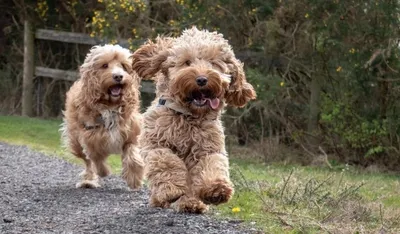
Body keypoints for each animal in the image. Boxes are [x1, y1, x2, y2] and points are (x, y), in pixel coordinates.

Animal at [61, 44, 144, 189]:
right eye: (105, 65)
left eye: (123, 66)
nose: (118, 76)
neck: (110, 106)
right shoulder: (90, 137)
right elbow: (96, 158)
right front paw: (103, 171)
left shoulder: (131, 133)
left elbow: (132, 154)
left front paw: (134, 178)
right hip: (75, 141)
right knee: (87, 161)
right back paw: (88, 181)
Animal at [131, 26, 256, 213]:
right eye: (187, 62)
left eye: (213, 63)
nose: (202, 79)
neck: (188, 116)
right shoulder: (155, 143)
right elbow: (166, 161)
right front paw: (171, 189)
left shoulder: (208, 147)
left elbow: (212, 163)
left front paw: (216, 189)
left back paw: (191, 203)